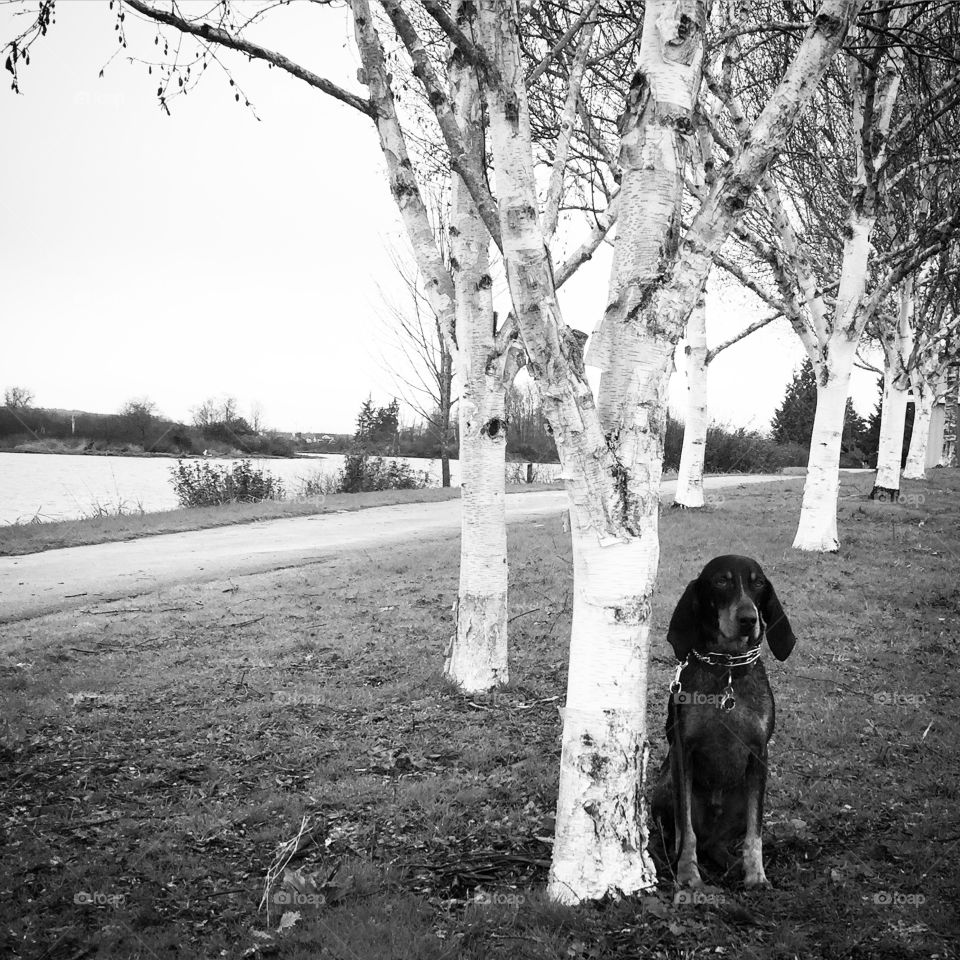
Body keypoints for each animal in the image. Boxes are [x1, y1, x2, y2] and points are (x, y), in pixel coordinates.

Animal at [648, 560, 800, 888]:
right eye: (721, 581)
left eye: (759, 584)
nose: (748, 619)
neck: (727, 667)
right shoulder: (683, 752)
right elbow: (686, 832)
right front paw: (688, 874)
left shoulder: (759, 754)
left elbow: (755, 835)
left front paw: (756, 875)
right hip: (666, 787)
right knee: (676, 837)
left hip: (744, 799)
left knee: (719, 844)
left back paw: (733, 865)